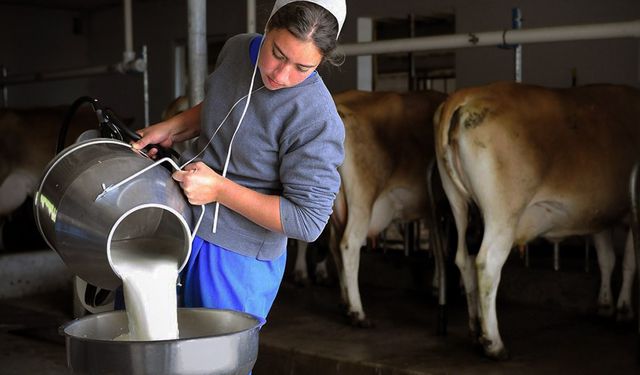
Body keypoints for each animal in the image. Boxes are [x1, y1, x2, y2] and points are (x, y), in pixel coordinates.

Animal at [328, 89, 448, 328]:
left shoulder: (431, 208)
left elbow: (437, 241)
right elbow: (445, 244)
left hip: (337, 209)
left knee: (335, 246)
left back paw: (345, 303)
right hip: (363, 199)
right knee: (349, 243)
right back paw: (357, 311)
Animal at [436, 81, 640, 358]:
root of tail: (463, 97)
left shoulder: (597, 217)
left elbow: (606, 259)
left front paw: (605, 305)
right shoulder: (631, 212)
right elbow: (629, 262)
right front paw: (624, 309)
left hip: (458, 204)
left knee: (463, 259)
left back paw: (475, 331)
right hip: (503, 214)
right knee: (487, 263)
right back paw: (494, 343)